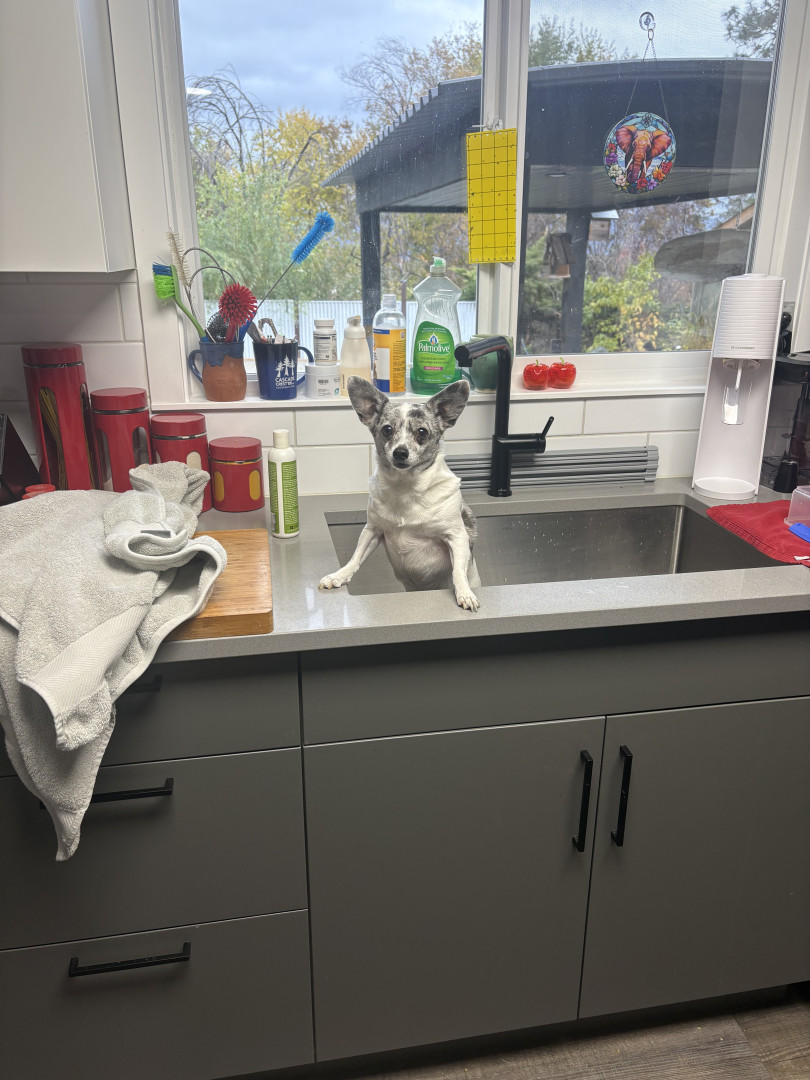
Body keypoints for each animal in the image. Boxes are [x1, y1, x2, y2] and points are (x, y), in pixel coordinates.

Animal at [318, 377, 480, 611]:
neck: (405, 487)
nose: (400, 452)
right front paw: (339, 575)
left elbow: (458, 571)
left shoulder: (457, 537)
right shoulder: (372, 531)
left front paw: (465, 593)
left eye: (422, 432)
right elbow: (356, 557)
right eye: (387, 429)